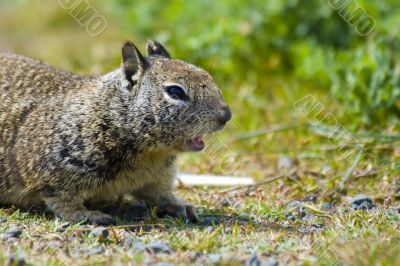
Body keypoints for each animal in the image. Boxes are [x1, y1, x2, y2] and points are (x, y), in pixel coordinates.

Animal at [0, 40, 231, 225]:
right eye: (175, 91)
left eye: (208, 76)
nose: (226, 115)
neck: (149, 153)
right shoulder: (51, 169)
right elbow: (63, 201)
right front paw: (88, 215)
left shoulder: (157, 177)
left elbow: (160, 194)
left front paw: (180, 205)